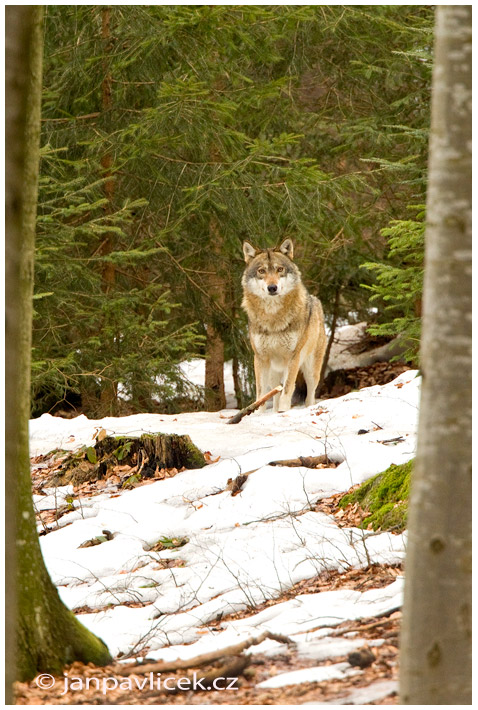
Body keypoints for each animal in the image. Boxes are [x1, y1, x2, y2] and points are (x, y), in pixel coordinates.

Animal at [241, 242, 326, 414]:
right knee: (273, 394)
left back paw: (309, 407)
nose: (272, 287)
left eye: (280, 269)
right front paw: (257, 415)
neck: (273, 318)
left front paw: (284, 411)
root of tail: (316, 300)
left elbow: (287, 390)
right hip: (273, 372)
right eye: (261, 271)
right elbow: (261, 393)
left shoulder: (293, 357)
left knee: (310, 395)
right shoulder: (260, 358)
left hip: (310, 369)